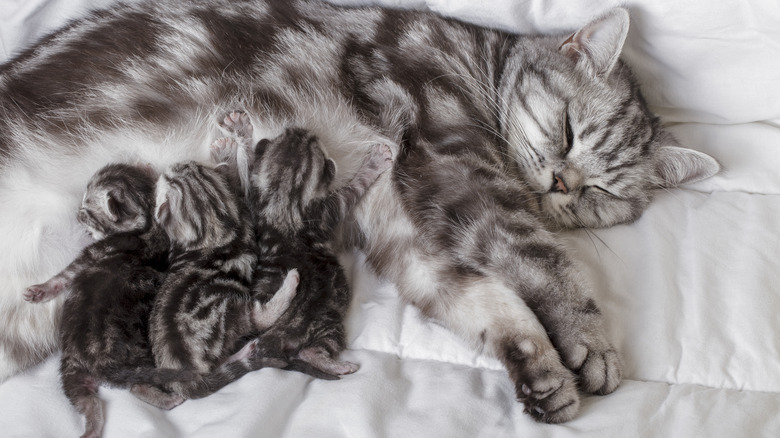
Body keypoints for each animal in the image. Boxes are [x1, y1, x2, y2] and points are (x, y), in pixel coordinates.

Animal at [210, 111, 394, 378]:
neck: (284, 201)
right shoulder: (330, 208)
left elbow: (249, 167)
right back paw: (338, 364)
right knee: (312, 351)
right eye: (313, 143)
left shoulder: (256, 202)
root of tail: (277, 336)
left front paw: (242, 133)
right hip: (331, 324)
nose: (302, 130)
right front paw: (375, 162)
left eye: (291, 136)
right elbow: (355, 187)